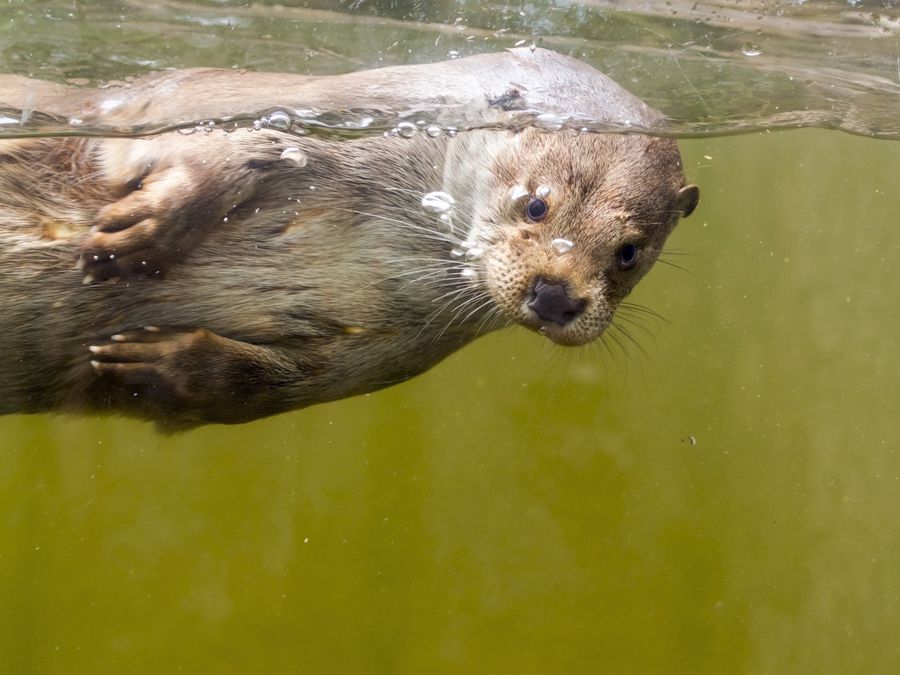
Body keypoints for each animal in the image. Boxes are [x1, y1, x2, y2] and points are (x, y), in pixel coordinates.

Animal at [0, 48, 700, 434]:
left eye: (629, 252)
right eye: (536, 203)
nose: (556, 296)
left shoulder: (394, 353)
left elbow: (275, 385)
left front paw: (161, 365)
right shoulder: (251, 109)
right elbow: (221, 150)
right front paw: (141, 233)